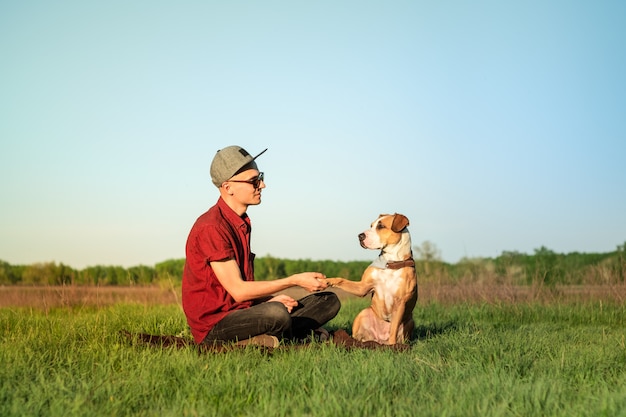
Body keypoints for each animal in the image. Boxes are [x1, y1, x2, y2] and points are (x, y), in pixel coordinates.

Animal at [324, 213, 416, 342]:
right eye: (371, 225)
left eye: (381, 226)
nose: (360, 236)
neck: (390, 262)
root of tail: (379, 339)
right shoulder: (363, 287)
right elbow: (341, 280)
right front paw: (324, 280)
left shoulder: (400, 303)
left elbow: (393, 329)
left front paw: (393, 346)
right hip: (363, 313)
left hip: (410, 321)